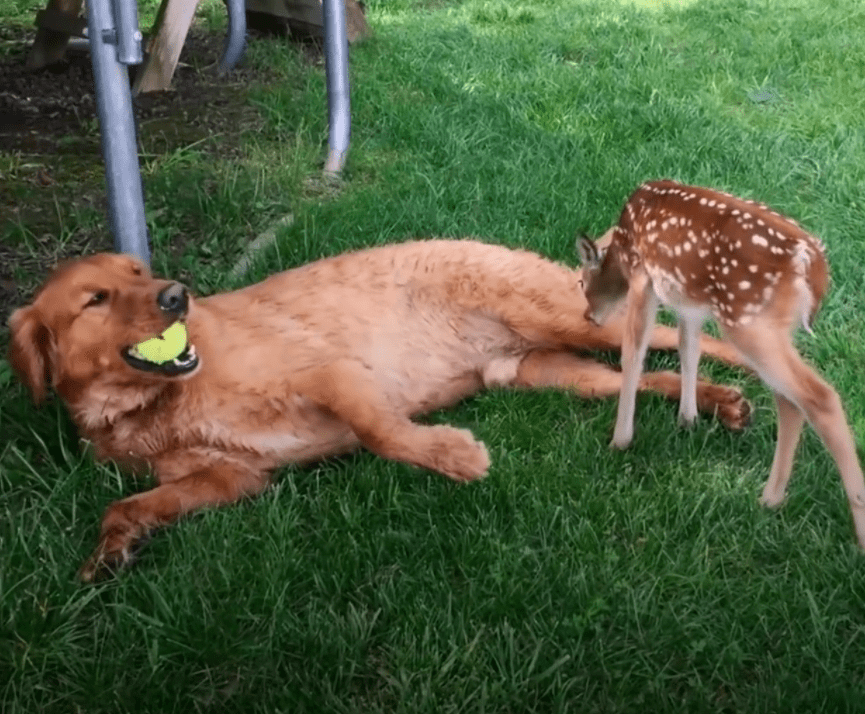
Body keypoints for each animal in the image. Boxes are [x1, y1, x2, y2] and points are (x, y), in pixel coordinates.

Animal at [8, 239, 748, 580]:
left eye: (138, 272)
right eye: (95, 299)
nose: (175, 295)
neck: (154, 404)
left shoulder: (334, 374)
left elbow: (384, 434)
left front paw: (451, 455)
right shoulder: (234, 478)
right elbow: (128, 505)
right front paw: (109, 552)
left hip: (571, 323)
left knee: (678, 336)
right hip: (548, 370)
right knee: (641, 379)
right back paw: (717, 403)